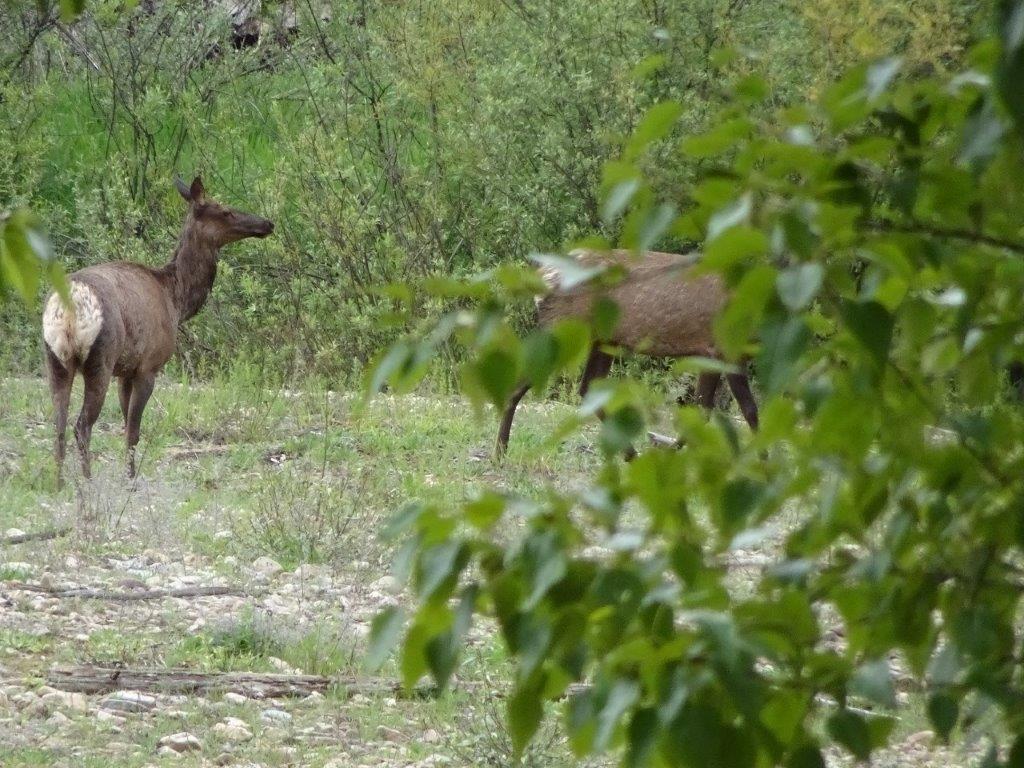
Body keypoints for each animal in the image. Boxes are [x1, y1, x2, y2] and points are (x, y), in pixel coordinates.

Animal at [42, 177, 274, 487]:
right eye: (225, 211)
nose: (267, 223)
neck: (175, 299)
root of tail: (69, 308)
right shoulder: (148, 366)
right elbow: (133, 432)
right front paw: (130, 479)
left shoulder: (126, 370)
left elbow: (125, 425)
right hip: (100, 360)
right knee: (81, 426)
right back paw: (88, 483)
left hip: (56, 360)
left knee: (58, 426)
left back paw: (59, 484)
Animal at [495, 250, 761, 456]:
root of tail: (543, 278)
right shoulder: (722, 349)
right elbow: (746, 410)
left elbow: (704, 410)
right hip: (562, 330)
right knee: (519, 385)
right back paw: (500, 452)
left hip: (604, 340)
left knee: (587, 387)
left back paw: (630, 454)